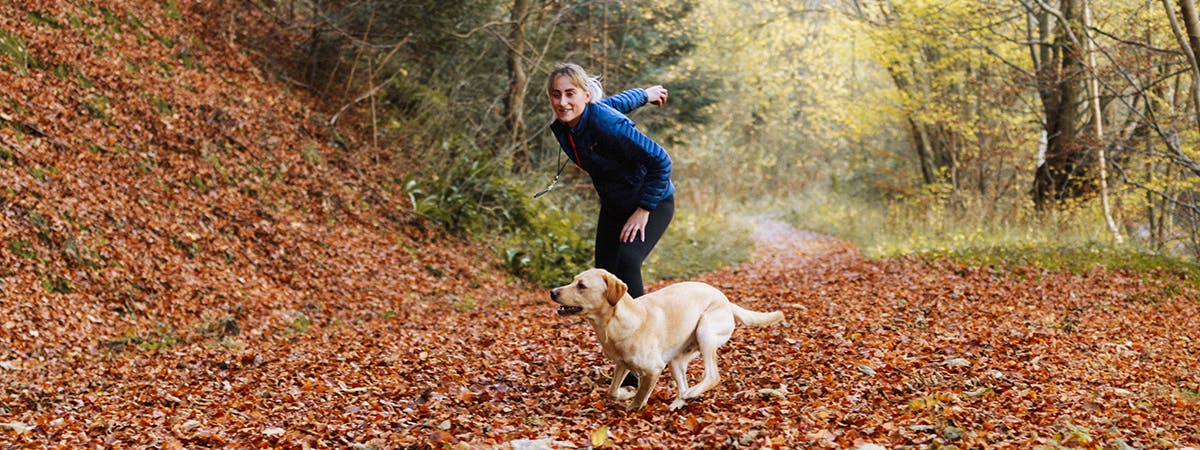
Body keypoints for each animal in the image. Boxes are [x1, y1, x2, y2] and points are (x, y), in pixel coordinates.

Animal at [552, 267, 787, 412]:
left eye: (581, 286)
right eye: (573, 281)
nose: (553, 291)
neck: (615, 323)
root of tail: (726, 299)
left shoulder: (654, 369)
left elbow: (641, 395)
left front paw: (633, 407)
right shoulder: (622, 364)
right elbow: (612, 392)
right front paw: (626, 393)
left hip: (705, 332)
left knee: (713, 376)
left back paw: (692, 393)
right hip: (676, 360)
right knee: (683, 386)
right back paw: (680, 401)